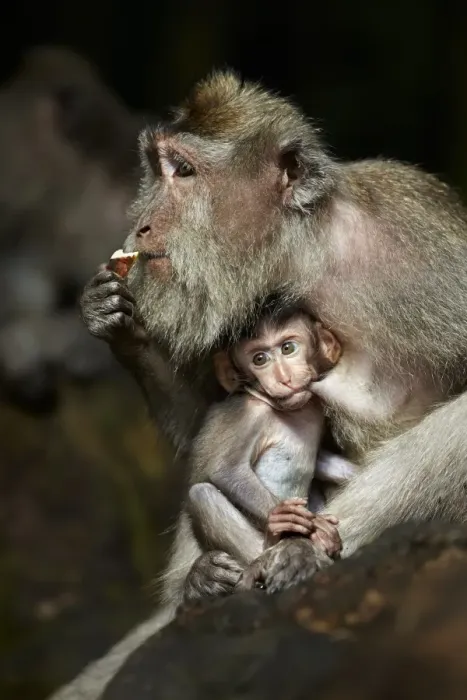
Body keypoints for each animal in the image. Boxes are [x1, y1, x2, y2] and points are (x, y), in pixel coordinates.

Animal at [71, 69, 467, 699]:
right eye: (154, 168)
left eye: (183, 170)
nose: (141, 225)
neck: (305, 253)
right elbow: (208, 430)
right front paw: (113, 320)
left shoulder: (421, 247)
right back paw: (202, 584)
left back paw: (300, 555)